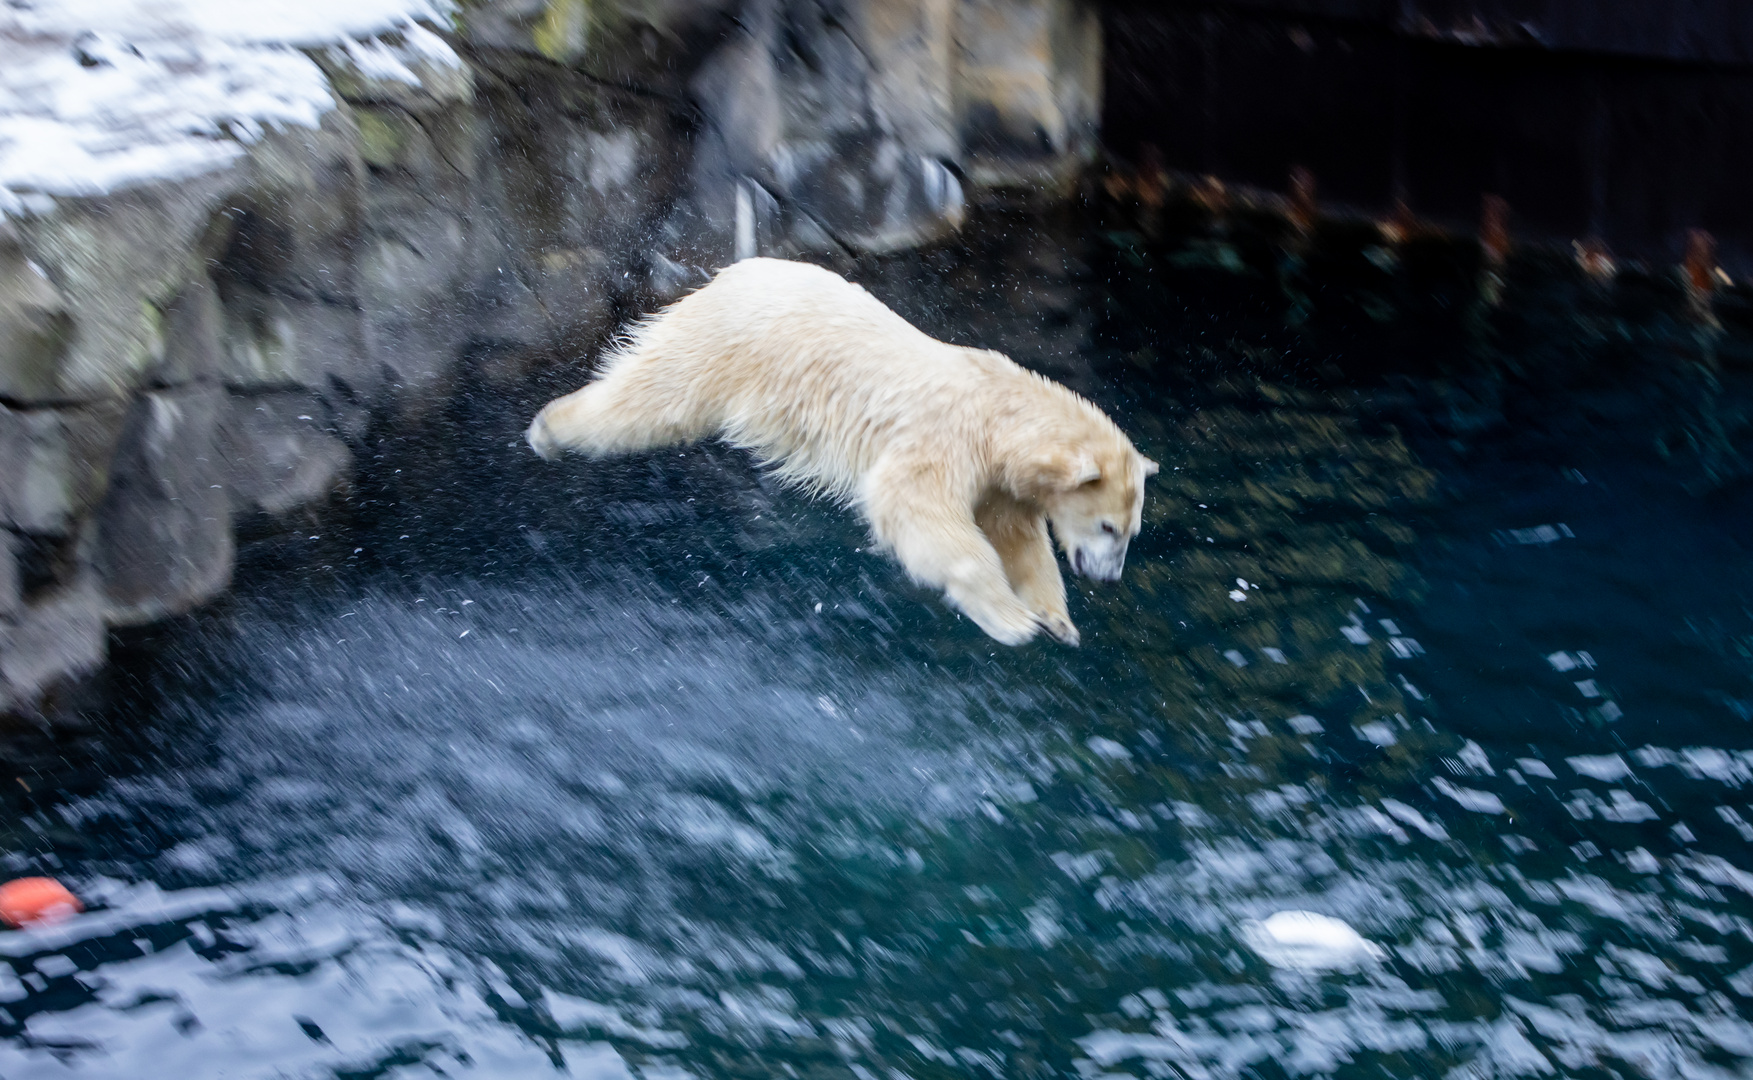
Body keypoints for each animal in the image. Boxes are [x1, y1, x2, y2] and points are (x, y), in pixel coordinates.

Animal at [525, 257, 1156, 645]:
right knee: (656, 397)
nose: (1110, 578)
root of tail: (732, 272)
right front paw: (1011, 620)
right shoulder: (943, 439)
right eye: (1107, 527)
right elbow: (916, 511)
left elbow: (1019, 539)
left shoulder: (1001, 481)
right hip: (729, 347)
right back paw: (549, 428)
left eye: (1130, 531)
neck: (999, 414)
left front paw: (1057, 619)